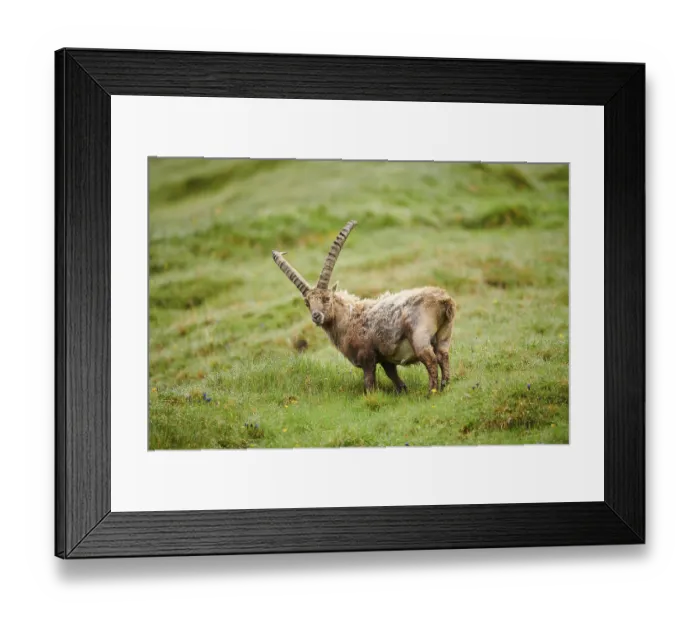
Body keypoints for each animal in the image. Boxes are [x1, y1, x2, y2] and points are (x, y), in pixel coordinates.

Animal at [272, 221, 456, 395]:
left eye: (326, 298)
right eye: (307, 303)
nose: (316, 316)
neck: (349, 318)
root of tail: (443, 300)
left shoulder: (366, 356)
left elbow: (369, 383)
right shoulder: (384, 358)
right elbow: (392, 374)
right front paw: (402, 390)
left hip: (419, 336)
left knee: (431, 360)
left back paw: (431, 393)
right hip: (444, 335)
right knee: (443, 355)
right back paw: (445, 387)